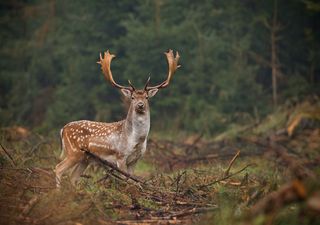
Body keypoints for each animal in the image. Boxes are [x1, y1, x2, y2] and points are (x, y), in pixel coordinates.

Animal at [55, 50, 180, 187]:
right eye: (132, 97)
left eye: (146, 97)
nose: (140, 105)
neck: (136, 140)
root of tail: (63, 129)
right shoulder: (120, 156)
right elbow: (125, 179)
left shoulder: (135, 160)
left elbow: (131, 179)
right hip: (74, 151)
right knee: (58, 168)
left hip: (85, 158)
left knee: (72, 177)